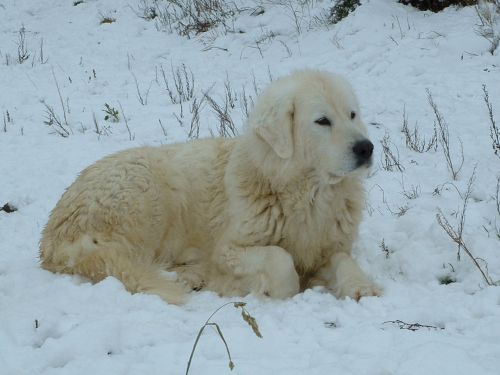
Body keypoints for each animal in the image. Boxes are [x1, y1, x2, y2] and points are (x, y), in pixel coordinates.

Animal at [41, 71, 380, 306]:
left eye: (352, 114)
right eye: (322, 121)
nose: (366, 148)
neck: (306, 194)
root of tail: (54, 239)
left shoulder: (326, 247)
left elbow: (343, 260)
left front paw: (361, 286)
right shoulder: (229, 250)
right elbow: (281, 262)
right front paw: (258, 289)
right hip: (148, 193)